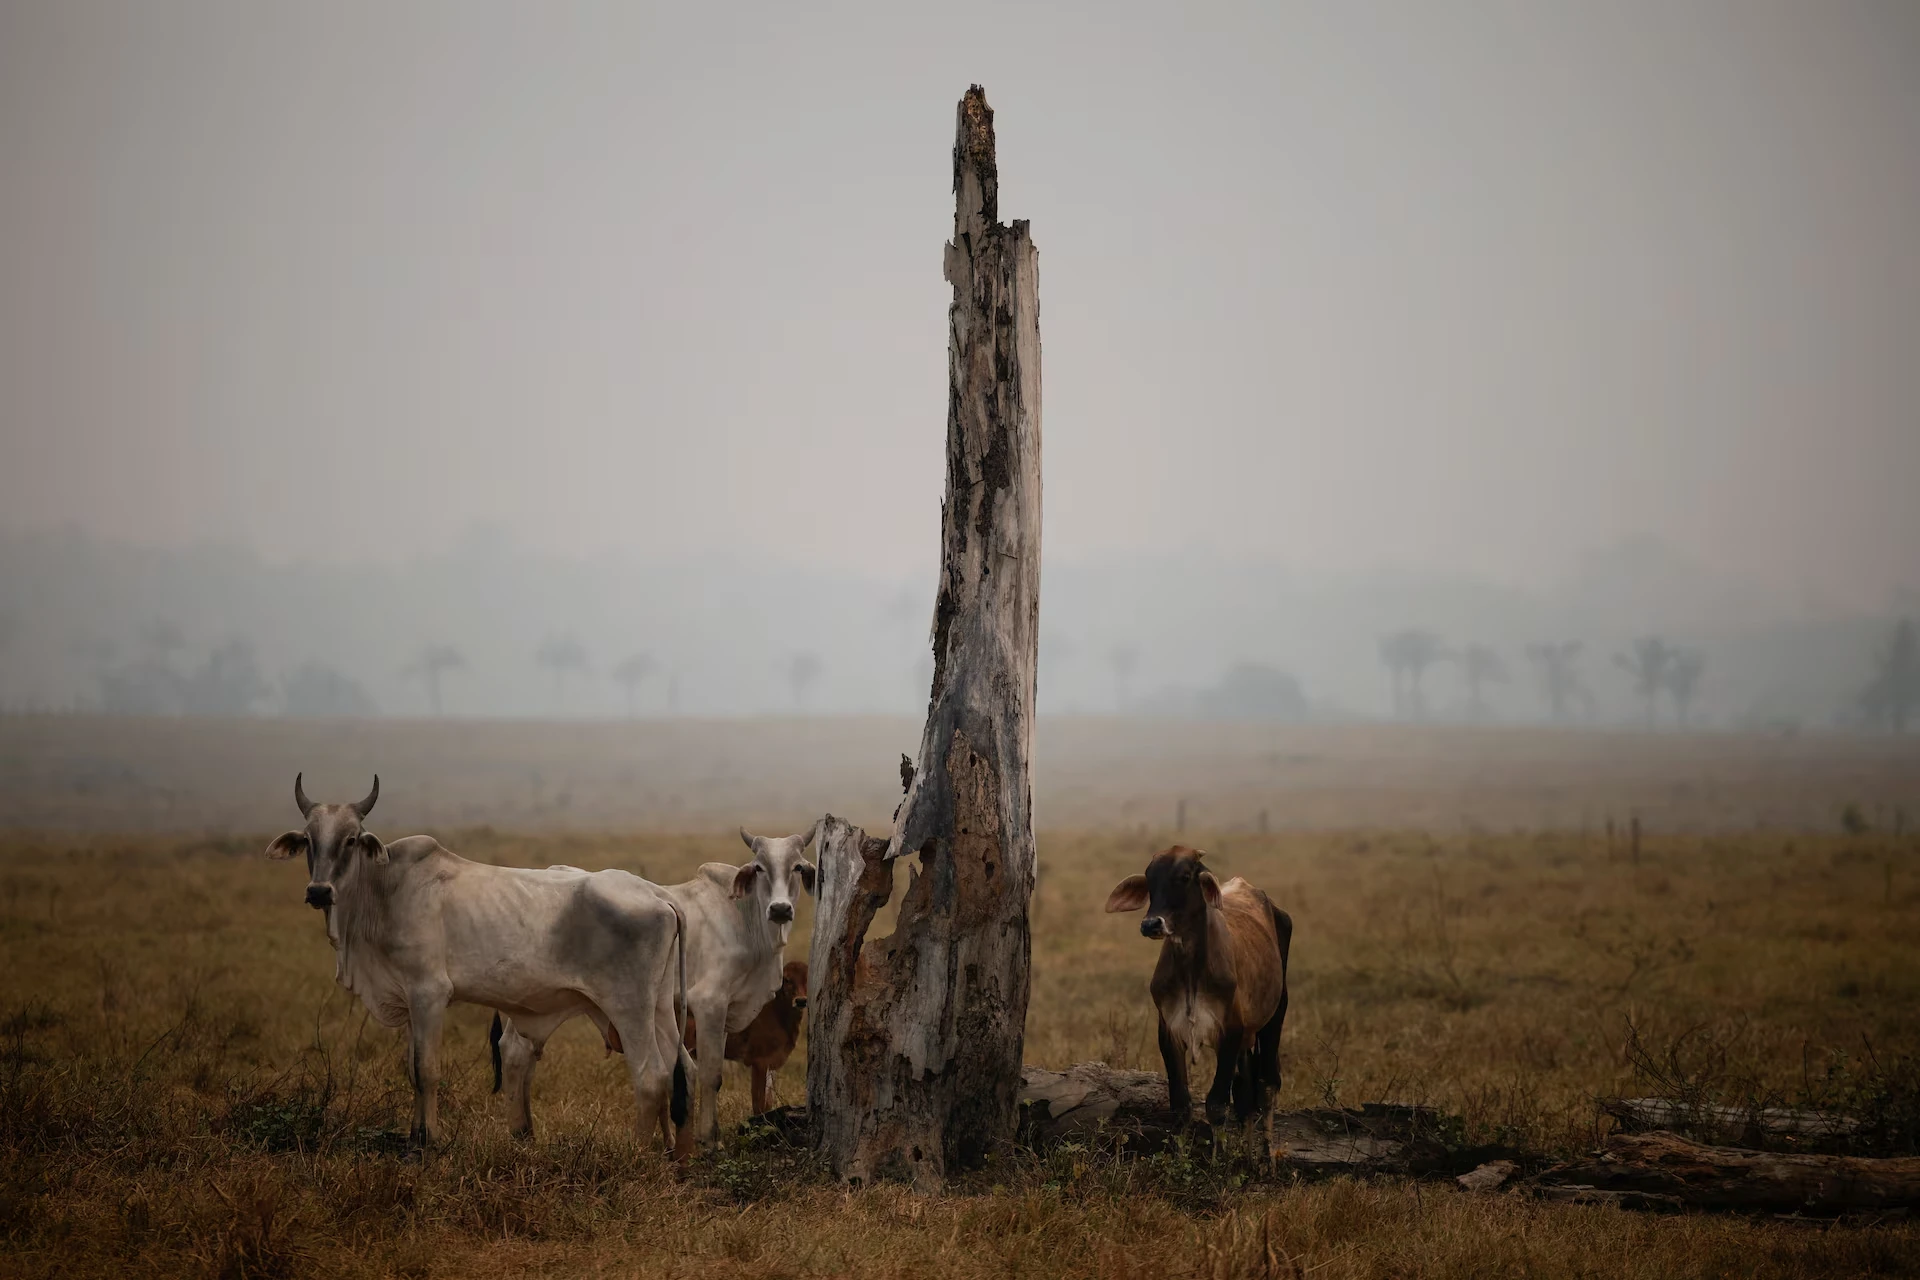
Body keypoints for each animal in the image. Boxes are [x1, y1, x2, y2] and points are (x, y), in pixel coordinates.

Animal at [266, 775, 695, 1159]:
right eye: (309, 840)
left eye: (351, 839)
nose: (319, 891)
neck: (384, 890)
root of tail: (659, 895)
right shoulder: (408, 1000)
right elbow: (411, 1071)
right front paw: (413, 1137)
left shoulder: (429, 994)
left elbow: (426, 1069)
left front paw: (428, 1141)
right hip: (659, 1008)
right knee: (685, 1071)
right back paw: (682, 1159)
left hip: (628, 1007)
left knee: (651, 1077)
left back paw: (636, 1153)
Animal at [683, 955, 802, 1113]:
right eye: (787, 979)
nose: (801, 1001)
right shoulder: (759, 1061)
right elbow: (758, 1102)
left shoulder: (771, 1063)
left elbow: (768, 1101)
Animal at [1105, 844, 1297, 1128]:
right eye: (1149, 878)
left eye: (1185, 877)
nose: (1151, 924)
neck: (1191, 973)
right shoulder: (1169, 1032)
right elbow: (1180, 1104)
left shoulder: (1231, 1031)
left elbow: (1216, 1104)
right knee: (1245, 1088)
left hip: (1276, 1011)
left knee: (1268, 1083)